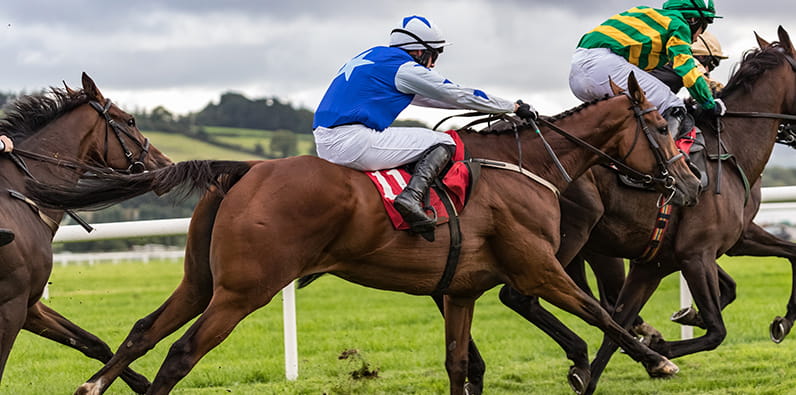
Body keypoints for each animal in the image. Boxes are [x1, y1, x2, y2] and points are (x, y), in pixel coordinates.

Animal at [0, 72, 173, 392]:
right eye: (130, 120)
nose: (165, 163)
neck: (20, 192)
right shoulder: (12, 304)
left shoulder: (29, 303)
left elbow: (91, 342)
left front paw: (140, 382)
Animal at [24, 72, 700, 394]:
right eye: (661, 128)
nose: (691, 183)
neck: (525, 165)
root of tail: (245, 169)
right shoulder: (539, 267)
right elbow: (604, 313)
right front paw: (657, 358)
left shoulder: (460, 290)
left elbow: (460, 364)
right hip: (244, 290)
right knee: (183, 353)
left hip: (201, 281)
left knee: (143, 331)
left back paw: (94, 384)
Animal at [486, 26, 796, 394]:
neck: (729, 148)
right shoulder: (697, 253)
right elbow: (715, 330)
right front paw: (662, 346)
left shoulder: (670, 259)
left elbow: (617, 326)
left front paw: (781, 322)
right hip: (569, 236)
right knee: (521, 297)